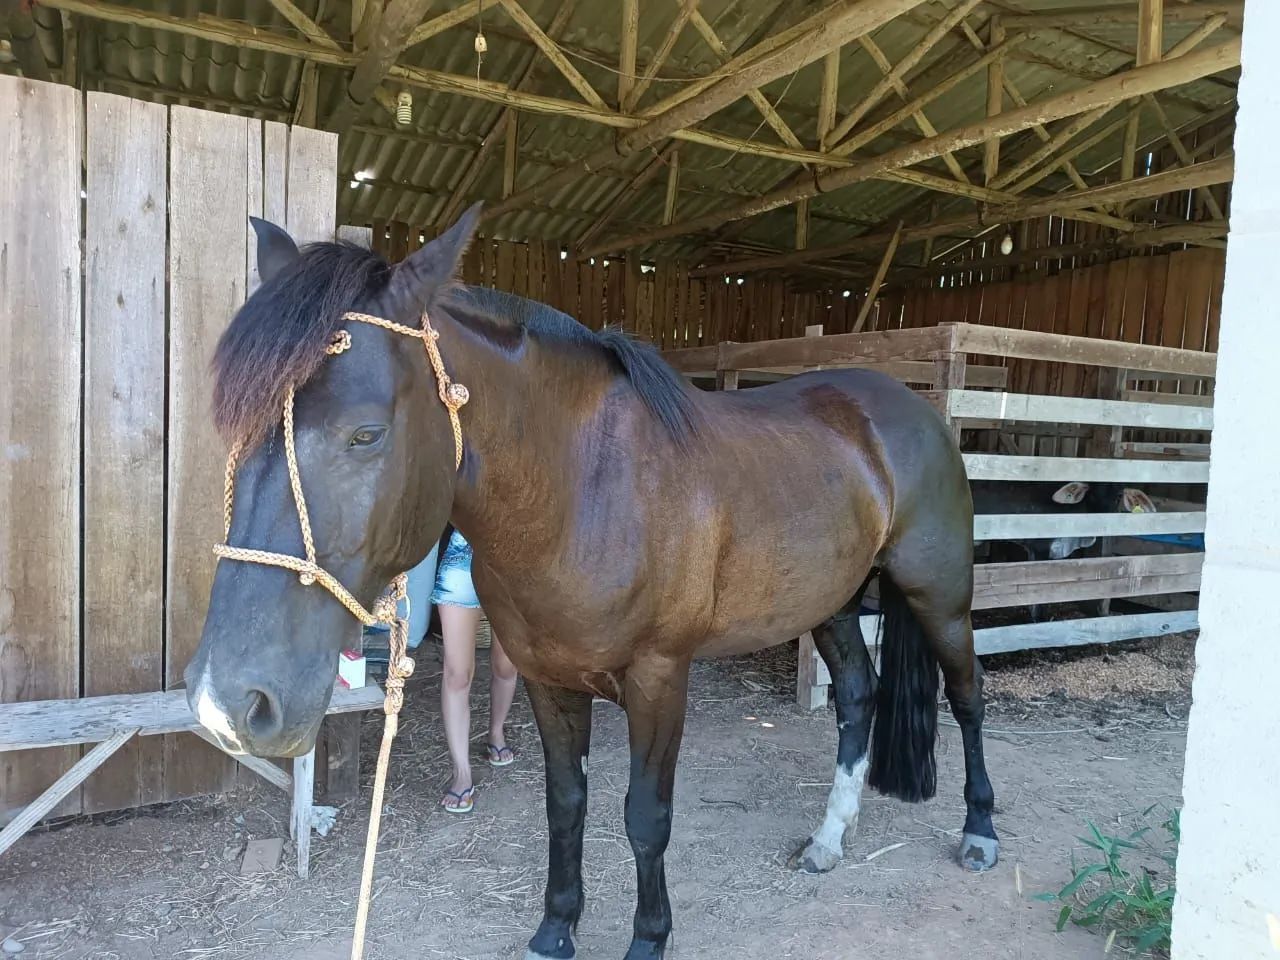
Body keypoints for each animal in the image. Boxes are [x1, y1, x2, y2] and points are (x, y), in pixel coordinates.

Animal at [185, 205, 998, 960]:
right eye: (239, 429)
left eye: (365, 434)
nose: (227, 702)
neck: (585, 492)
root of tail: (909, 407)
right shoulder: (549, 680)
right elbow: (566, 803)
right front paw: (555, 929)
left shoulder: (659, 677)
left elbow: (645, 816)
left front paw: (647, 938)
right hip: (829, 602)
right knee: (858, 697)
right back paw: (829, 840)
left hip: (940, 597)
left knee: (966, 696)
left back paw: (980, 830)